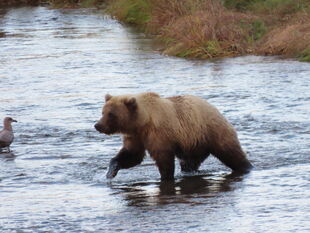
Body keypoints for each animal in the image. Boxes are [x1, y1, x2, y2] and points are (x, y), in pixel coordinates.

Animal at [94, 92, 252, 180]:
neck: (143, 122)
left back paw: (246, 166)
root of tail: (216, 110)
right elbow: (132, 155)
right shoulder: (135, 136)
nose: (97, 125)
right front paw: (111, 171)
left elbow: (163, 159)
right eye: (103, 112)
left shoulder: (159, 134)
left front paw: (165, 177)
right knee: (189, 162)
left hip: (212, 131)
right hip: (193, 143)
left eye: (111, 114)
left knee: (231, 152)